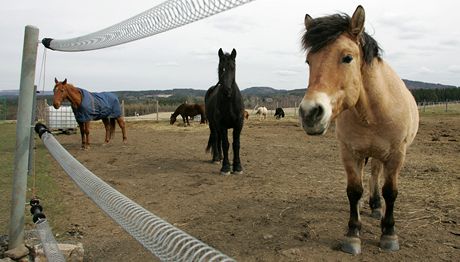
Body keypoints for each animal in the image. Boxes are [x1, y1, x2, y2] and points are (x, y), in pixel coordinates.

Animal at [206, 48, 244, 176]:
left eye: (233, 67)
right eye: (221, 68)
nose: (227, 90)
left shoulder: (238, 125)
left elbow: (236, 144)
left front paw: (237, 167)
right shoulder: (222, 125)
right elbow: (226, 144)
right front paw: (226, 167)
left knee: (218, 139)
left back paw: (221, 157)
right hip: (213, 124)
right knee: (215, 137)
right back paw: (217, 158)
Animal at [298, 6, 420, 255]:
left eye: (347, 57)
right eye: (308, 61)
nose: (309, 113)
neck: (373, 112)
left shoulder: (396, 155)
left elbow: (390, 192)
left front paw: (389, 233)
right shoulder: (349, 152)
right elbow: (354, 191)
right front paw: (353, 234)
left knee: (375, 175)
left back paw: (376, 206)